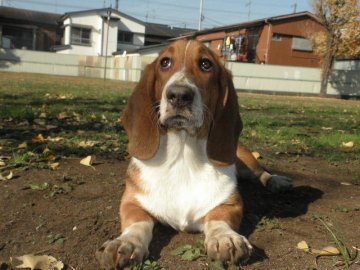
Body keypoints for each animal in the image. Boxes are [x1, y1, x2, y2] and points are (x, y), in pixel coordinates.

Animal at [95, 39, 292, 268]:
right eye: (164, 62)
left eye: (206, 64)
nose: (179, 95)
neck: (183, 155)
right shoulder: (131, 202)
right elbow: (137, 223)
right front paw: (126, 243)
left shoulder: (231, 203)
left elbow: (218, 219)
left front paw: (225, 237)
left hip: (245, 158)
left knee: (261, 172)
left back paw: (277, 181)